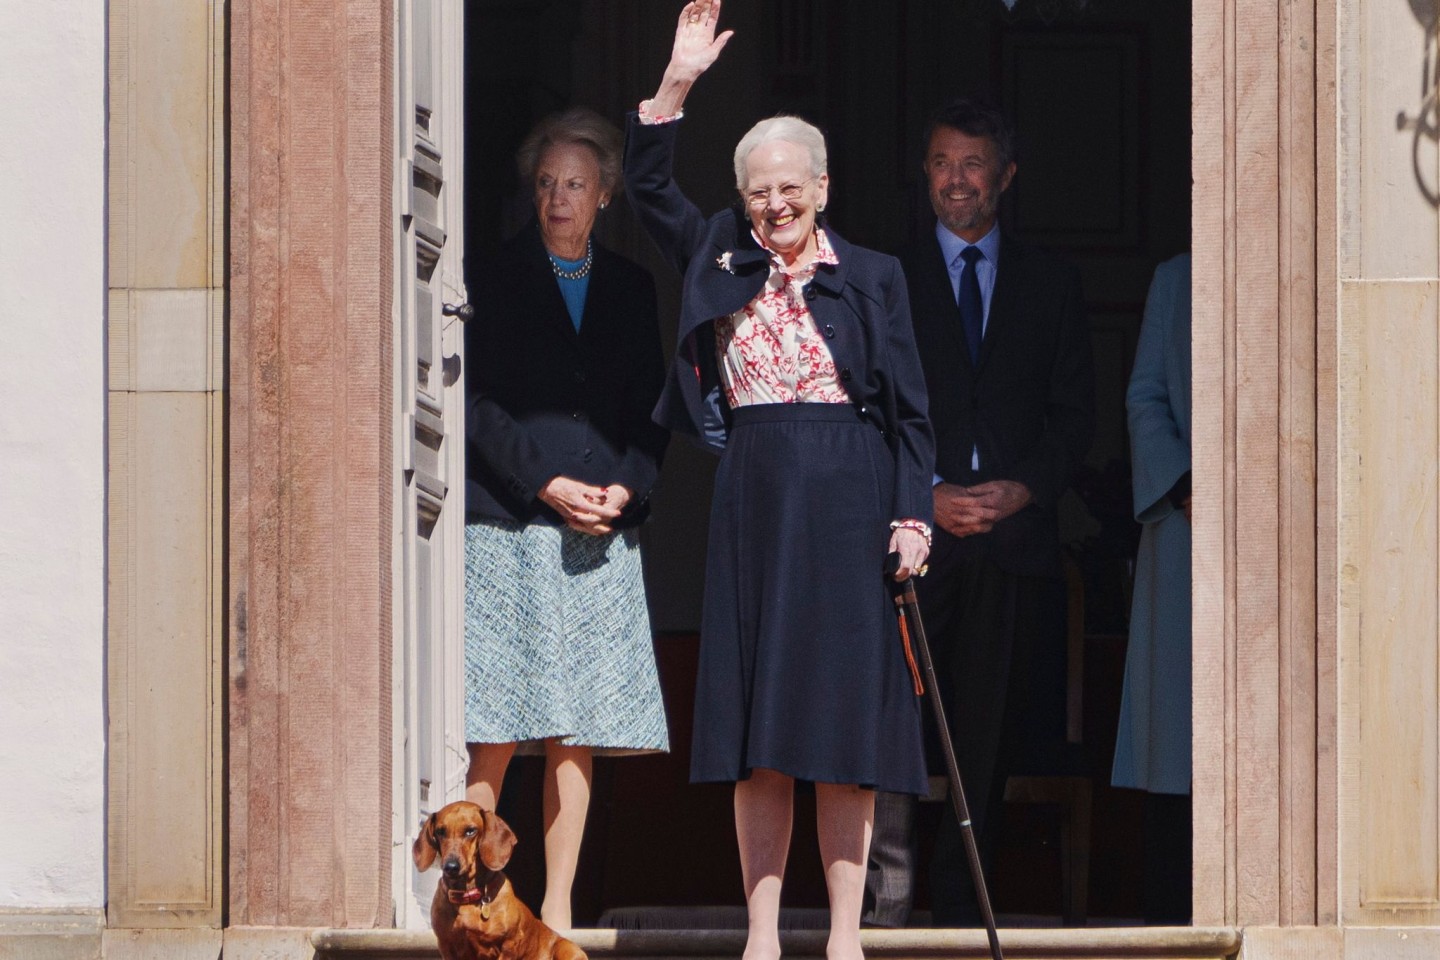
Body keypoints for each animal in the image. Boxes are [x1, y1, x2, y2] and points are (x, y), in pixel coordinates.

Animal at [414, 800, 587, 960]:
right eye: (440, 832)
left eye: (470, 831)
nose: (450, 867)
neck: (468, 896)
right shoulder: (446, 946)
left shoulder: (510, 945)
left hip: (568, 950)